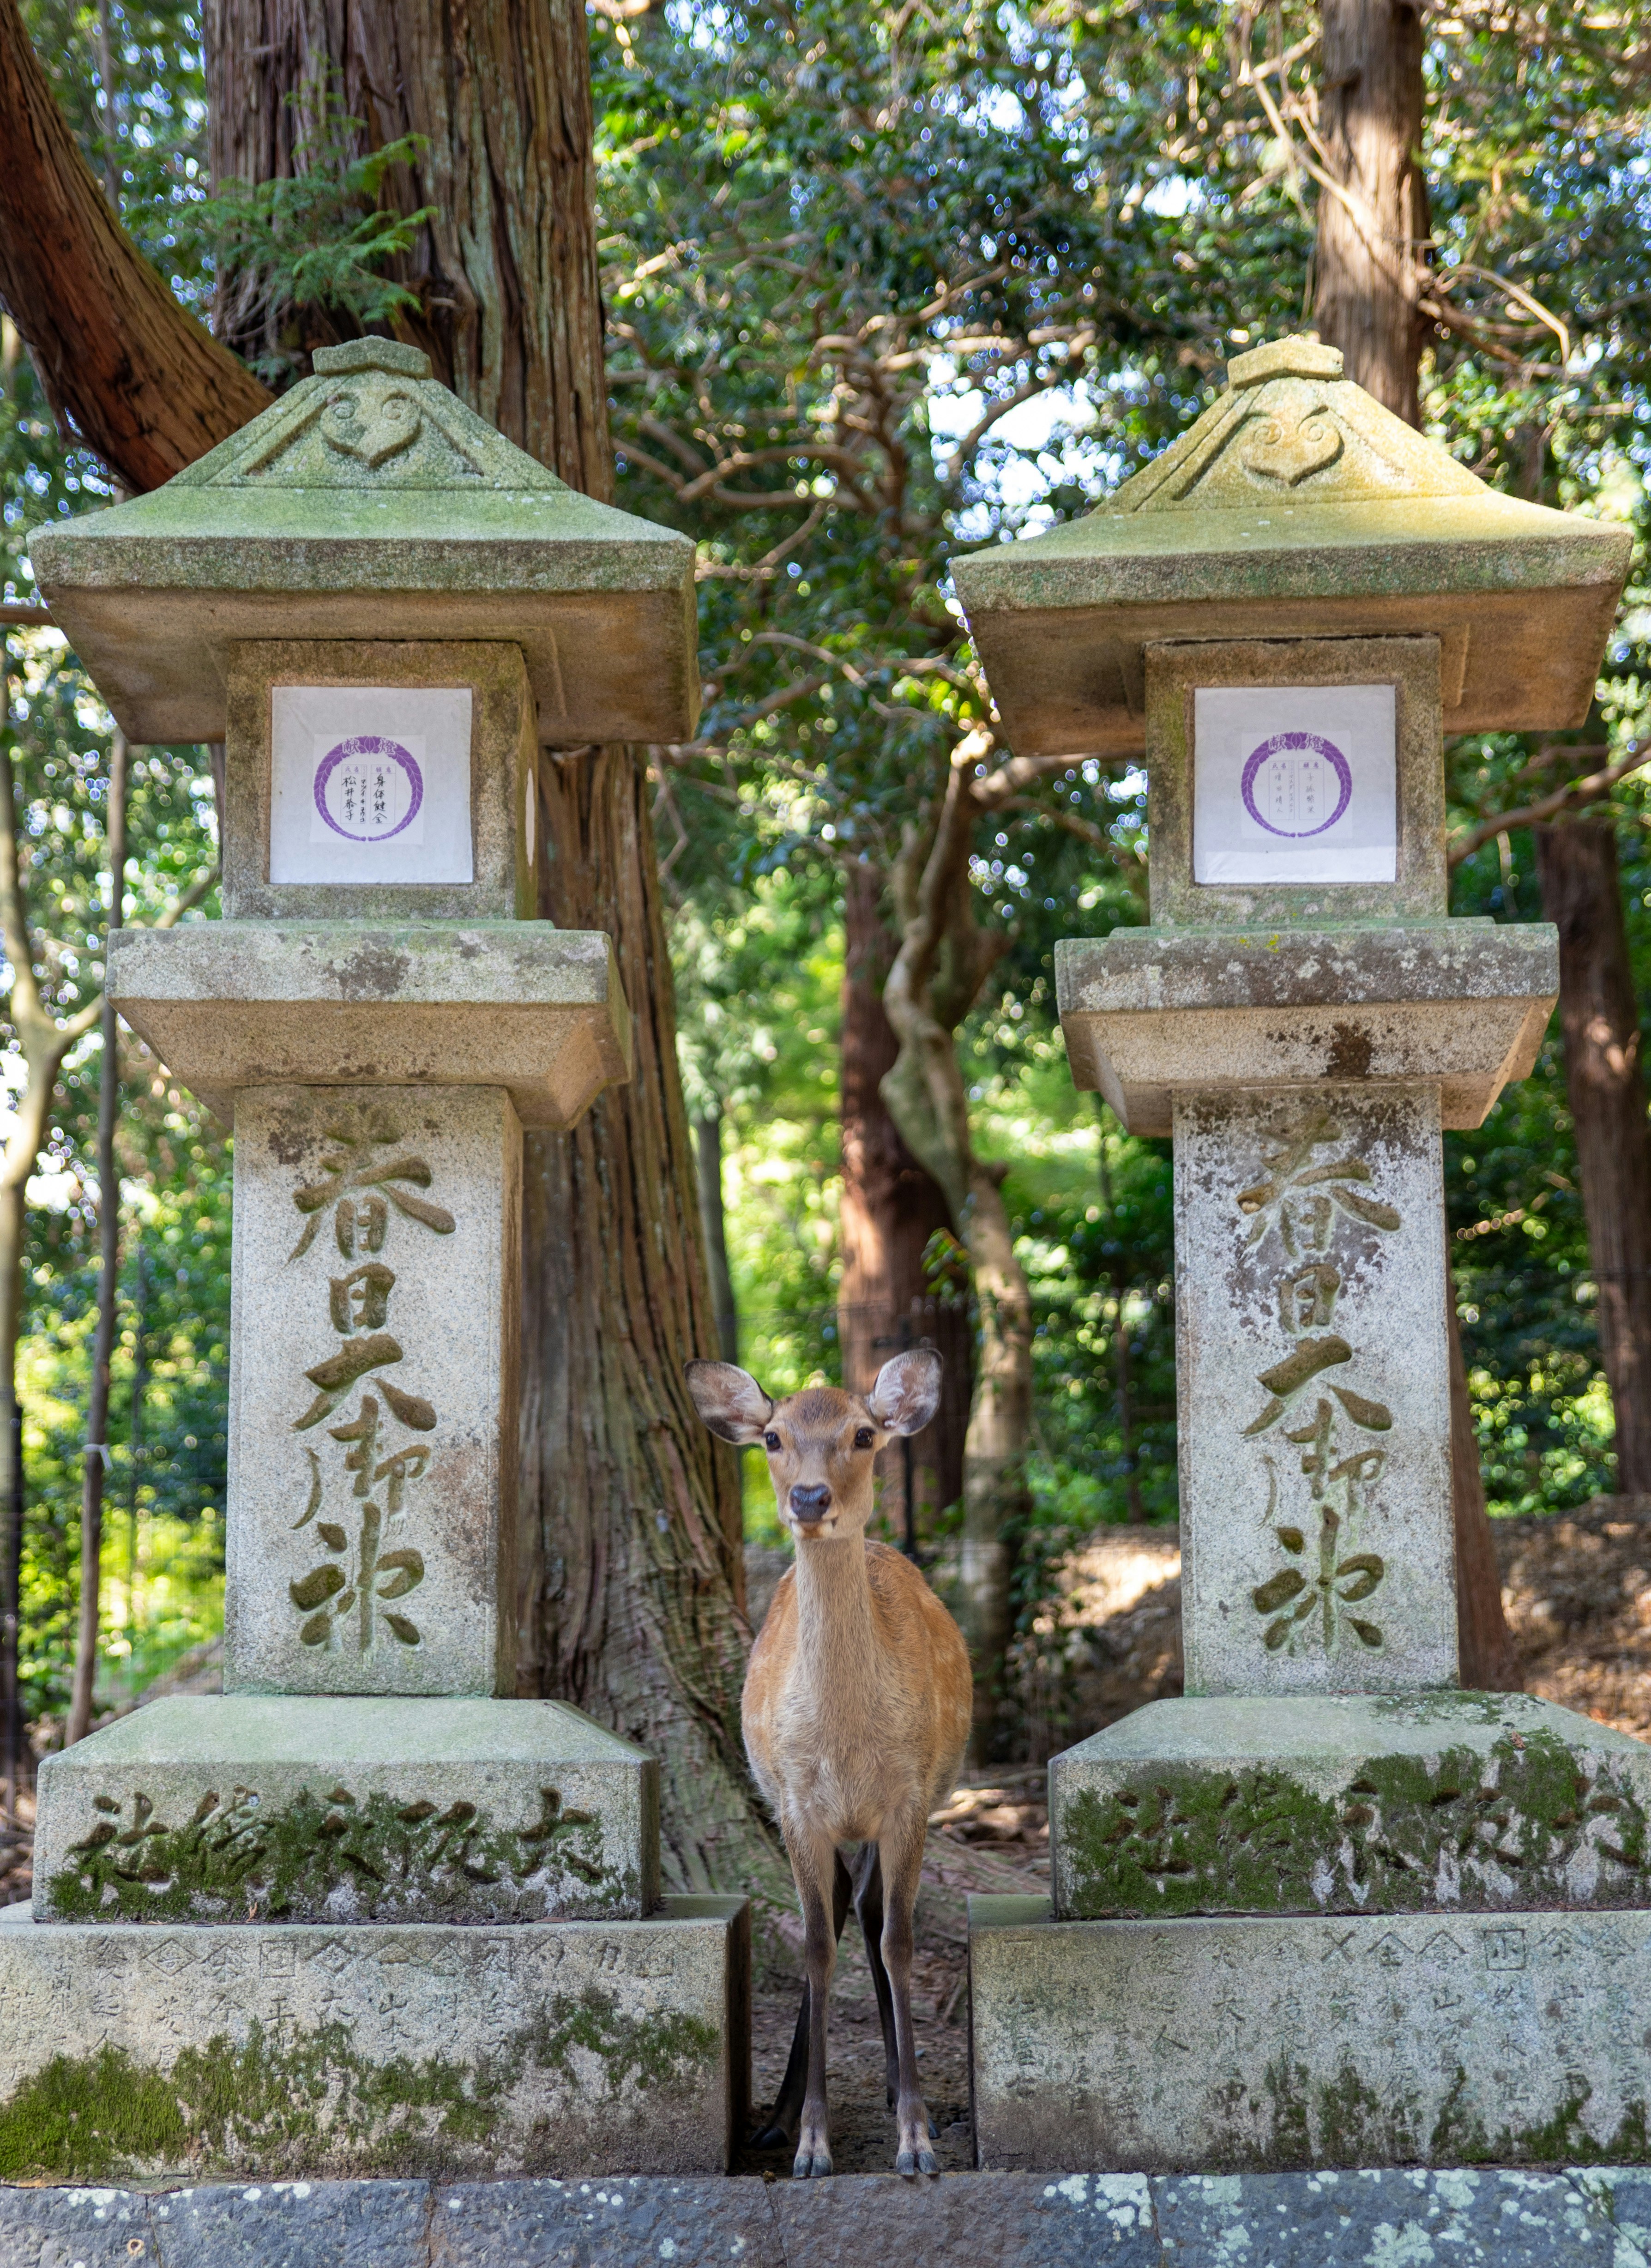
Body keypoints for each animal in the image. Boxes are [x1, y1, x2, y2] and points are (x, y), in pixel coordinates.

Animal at [685, 1346, 972, 2181]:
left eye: (864, 1434)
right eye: (773, 1438)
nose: (810, 1498)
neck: (845, 1744)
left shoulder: (909, 1797)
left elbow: (898, 1940)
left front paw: (916, 2138)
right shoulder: (796, 1806)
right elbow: (814, 1945)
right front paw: (812, 2144)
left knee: (870, 1914)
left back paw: (895, 2087)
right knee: (840, 1910)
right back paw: (778, 2119)